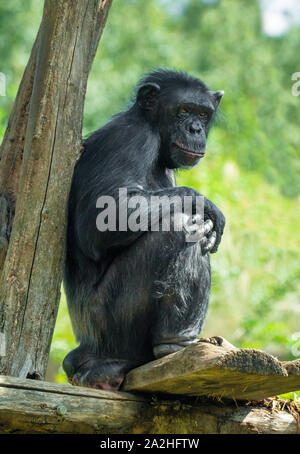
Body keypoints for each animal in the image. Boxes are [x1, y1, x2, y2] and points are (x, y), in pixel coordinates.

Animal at [63, 68, 225, 390]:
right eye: (183, 110)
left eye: (203, 114)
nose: (195, 129)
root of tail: (84, 349)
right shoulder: (131, 139)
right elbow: (109, 214)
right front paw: (203, 203)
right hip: (110, 325)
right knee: (178, 226)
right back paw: (177, 346)